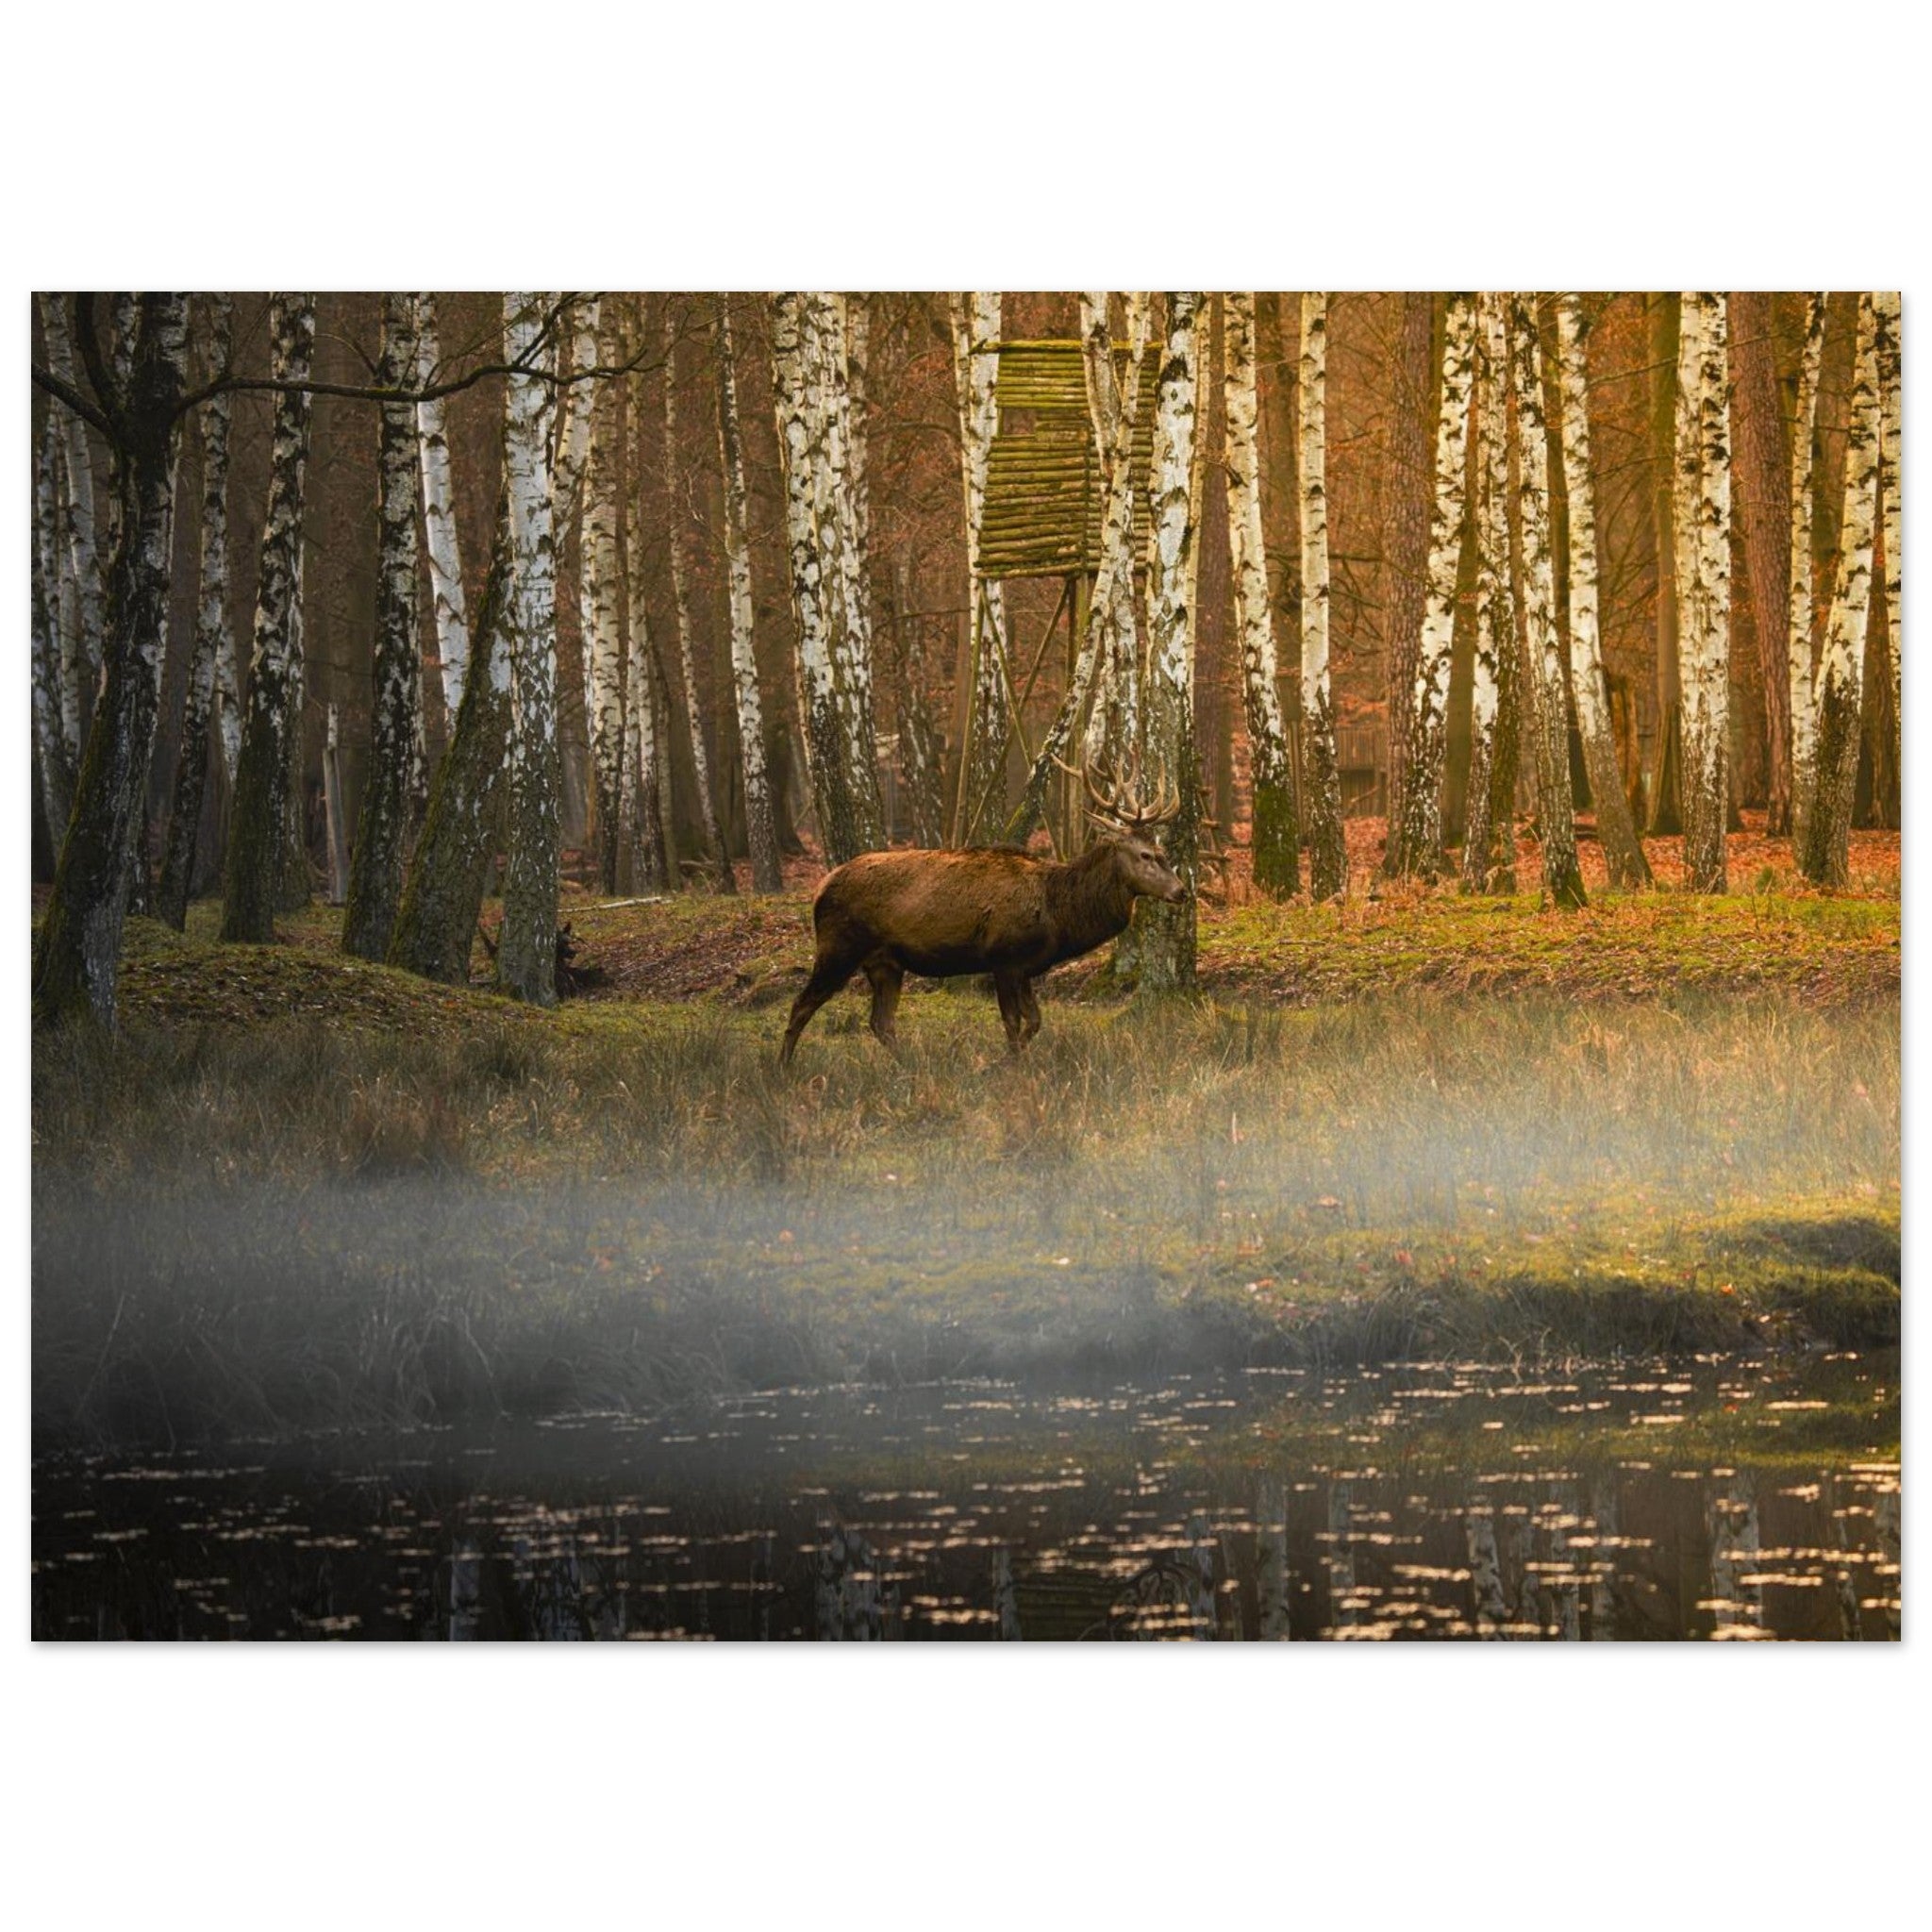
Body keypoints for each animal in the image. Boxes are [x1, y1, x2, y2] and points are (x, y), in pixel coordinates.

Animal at [779, 761, 1186, 1064]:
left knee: (880, 1023)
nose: (1181, 891)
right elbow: (1013, 1024)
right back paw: (783, 1068)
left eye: (1162, 850)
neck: (1057, 914)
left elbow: (1034, 1021)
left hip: (886, 963)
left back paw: (911, 1065)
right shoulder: (1003, 959)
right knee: (801, 1005)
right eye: (1145, 854)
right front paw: (1005, 1065)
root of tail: (820, 888)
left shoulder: (1025, 968)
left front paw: (1008, 1061)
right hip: (838, 948)